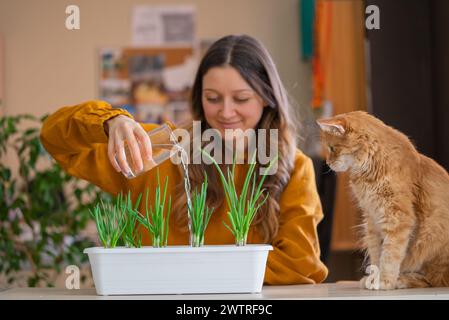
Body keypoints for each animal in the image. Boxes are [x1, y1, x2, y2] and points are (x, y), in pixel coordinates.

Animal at [316, 111, 448, 288]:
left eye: (331, 148)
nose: (328, 163)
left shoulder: (397, 217)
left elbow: (390, 255)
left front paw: (384, 281)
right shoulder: (372, 220)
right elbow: (376, 254)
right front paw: (373, 278)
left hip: (431, 237)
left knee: (434, 279)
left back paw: (403, 280)